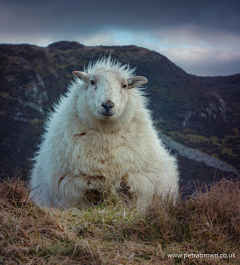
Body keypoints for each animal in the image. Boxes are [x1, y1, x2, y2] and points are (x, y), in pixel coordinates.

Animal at [30, 56, 179, 208]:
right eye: (92, 82)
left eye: (124, 85)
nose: (108, 105)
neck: (106, 142)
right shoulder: (72, 188)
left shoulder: (139, 186)